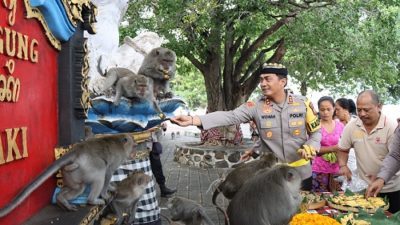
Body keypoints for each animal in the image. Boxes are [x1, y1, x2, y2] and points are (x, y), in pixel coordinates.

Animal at [0, 134, 136, 216]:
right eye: (133, 143)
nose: (134, 150)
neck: (119, 141)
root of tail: (77, 150)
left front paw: (112, 187)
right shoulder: (116, 160)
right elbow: (108, 173)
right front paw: (106, 192)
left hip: (70, 173)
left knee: (78, 188)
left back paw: (61, 199)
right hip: (90, 166)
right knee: (100, 172)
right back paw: (92, 200)